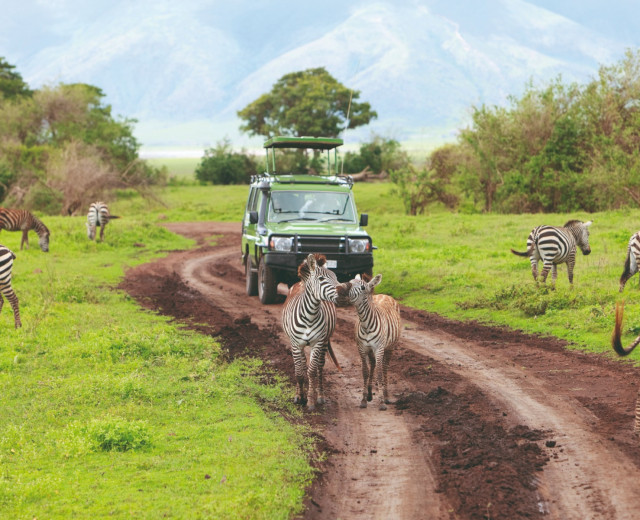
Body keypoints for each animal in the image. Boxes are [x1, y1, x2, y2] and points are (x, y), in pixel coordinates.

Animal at [282, 254, 342, 412]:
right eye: (321, 279)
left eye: (336, 277)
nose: (343, 292)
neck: (310, 315)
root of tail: (300, 283)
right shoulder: (296, 344)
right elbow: (299, 371)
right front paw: (299, 397)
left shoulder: (318, 343)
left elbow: (312, 371)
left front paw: (310, 401)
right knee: (301, 365)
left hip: (325, 341)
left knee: (320, 367)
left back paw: (319, 395)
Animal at [336, 272, 400, 410]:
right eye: (350, 281)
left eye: (362, 288)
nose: (340, 289)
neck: (366, 324)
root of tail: (384, 295)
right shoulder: (362, 348)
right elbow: (365, 372)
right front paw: (364, 399)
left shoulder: (379, 348)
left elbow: (380, 373)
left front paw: (381, 402)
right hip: (371, 350)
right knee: (373, 364)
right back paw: (370, 394)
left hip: (390, 347)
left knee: (384, 368)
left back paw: (386, 396)